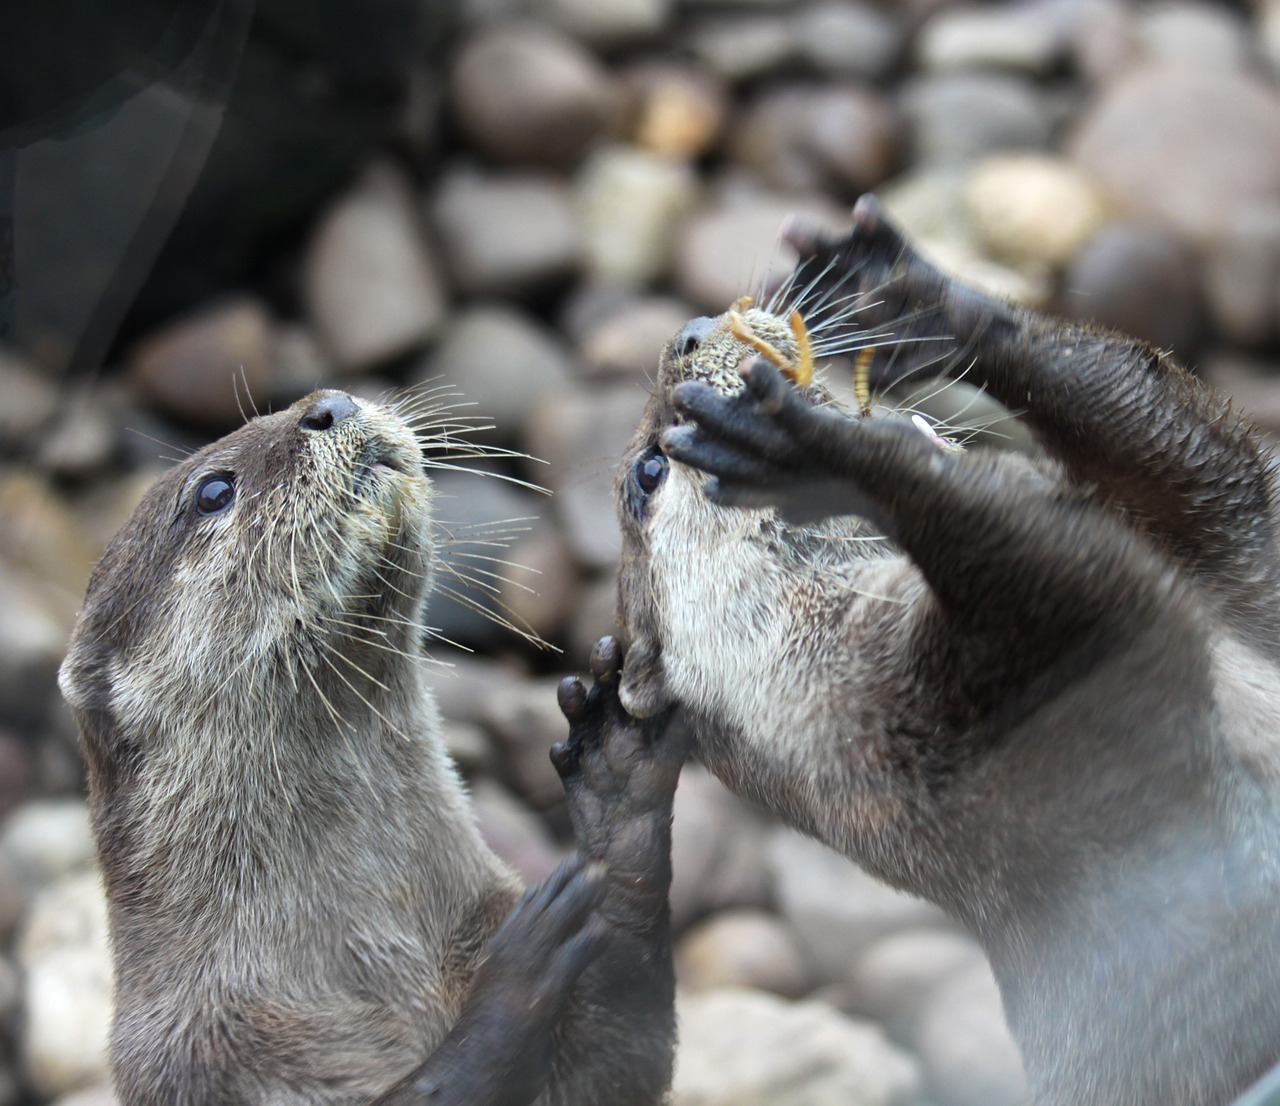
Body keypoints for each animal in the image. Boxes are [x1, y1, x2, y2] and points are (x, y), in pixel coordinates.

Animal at [57, 391, 691, 1106]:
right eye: (214, 491)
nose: (329, 404)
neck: (376, 949)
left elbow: (621, 1058)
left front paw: (620, 787)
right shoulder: (203, 1059)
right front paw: (517, 972)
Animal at [609, 197, 1280, 1106]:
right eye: (648, 472)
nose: (684, 333)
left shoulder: (1233, 566)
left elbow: (1206, 470)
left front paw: (906, 293)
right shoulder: (986, 724)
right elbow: (1077, 588)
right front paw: (815, 455)